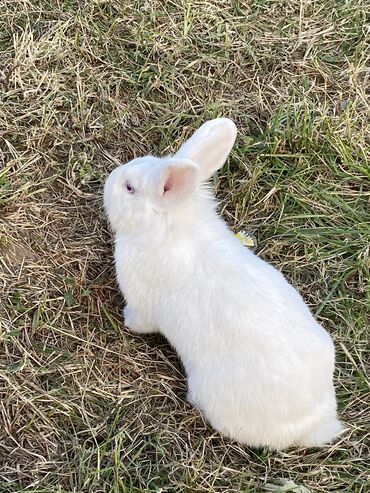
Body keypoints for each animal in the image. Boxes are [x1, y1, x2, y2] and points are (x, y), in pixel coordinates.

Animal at [103, 117, 342, 448]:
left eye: (129, 188)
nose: (108, 181)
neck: (166, 228)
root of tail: (314, 423)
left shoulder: (142, 303)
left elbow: (140, 321)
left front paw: (126, 322)